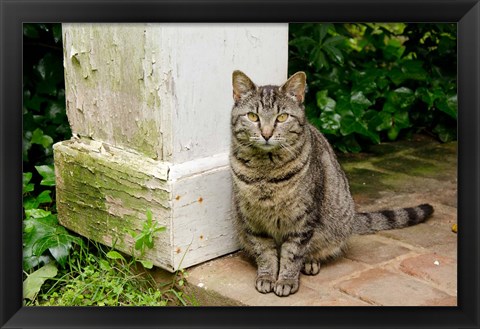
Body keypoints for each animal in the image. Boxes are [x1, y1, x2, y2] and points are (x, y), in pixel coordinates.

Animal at [229, 70, 436, 296]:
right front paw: (266, 276)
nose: (266, 134)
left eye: (282, 117)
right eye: (253, 116)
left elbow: (292, 253)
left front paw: (286, 280)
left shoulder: (303, 219)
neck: (265, 172)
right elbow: (264, 252)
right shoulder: (252, 220)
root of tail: (353, 217)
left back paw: (310, 262)